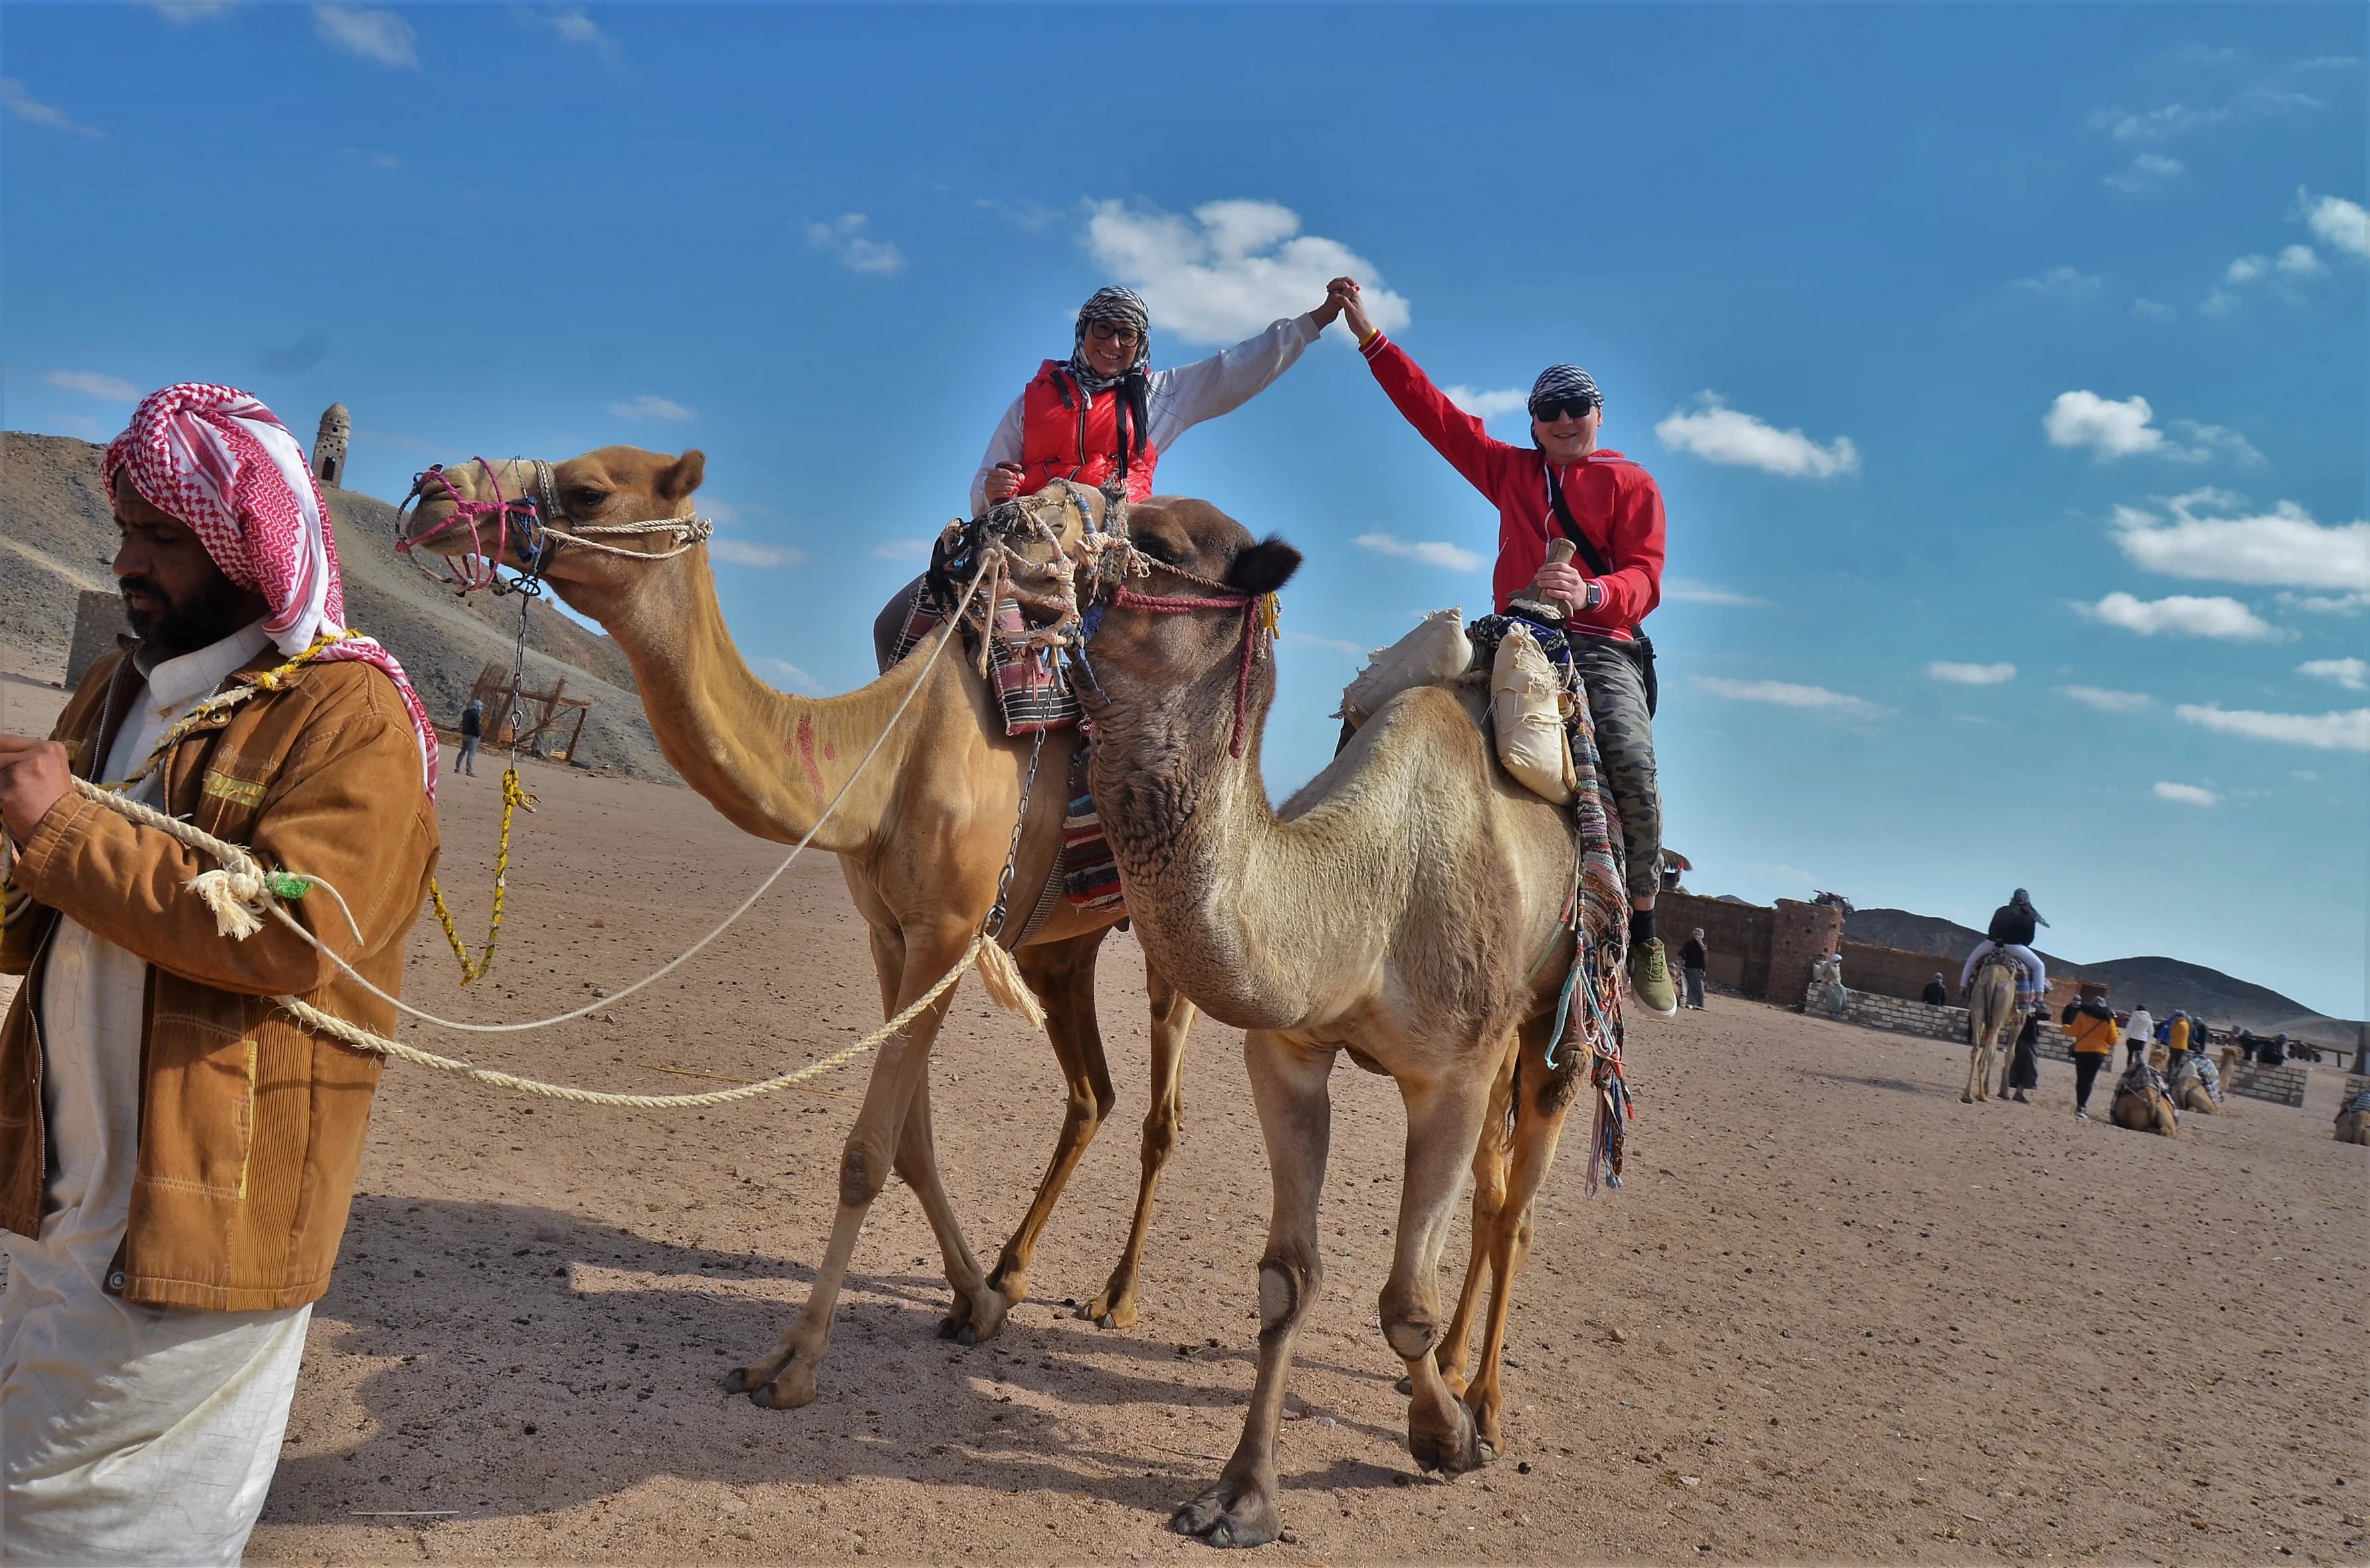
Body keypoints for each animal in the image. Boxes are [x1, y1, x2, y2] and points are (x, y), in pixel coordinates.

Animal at [401, 448, 1203, 1412]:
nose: (436, 495)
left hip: (1170, 935)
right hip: (1060, 947)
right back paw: (1012, 1270)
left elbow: (867, 1150)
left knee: (1160, 1113)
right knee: (1091, 1094)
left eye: (589, 488)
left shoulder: (948, 931)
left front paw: (792, 1361)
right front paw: (973, 1301)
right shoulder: (892, 934)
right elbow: (910, 1144)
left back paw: (1116, 1297)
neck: (889, 756)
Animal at [1063, 497, 1627, 1550]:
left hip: (1557, 1024)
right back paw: (1454, 1369)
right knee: (1491, 1200)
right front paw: (1240, 1496)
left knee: (1518, 1209)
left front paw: (1447, 1441)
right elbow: (1288, 1278)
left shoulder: (1448, 1073)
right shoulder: (1288, 1051)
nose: (994, 530)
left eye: (1153, 544)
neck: (1364, 898)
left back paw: (1483, 1401)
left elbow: (1403, 1299)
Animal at [1964, 951, 2019, 1104]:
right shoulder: (2020, 1018)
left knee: (1976, 1050)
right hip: (1998, 1014)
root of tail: (1993, 978)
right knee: (1983, 1057)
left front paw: (1988, 1088)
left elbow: (1993, 1053)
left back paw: (1968, 1095)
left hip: (1979, 1005)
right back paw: (1982, 1096)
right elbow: (2010, 1054)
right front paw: (2004, 1093)